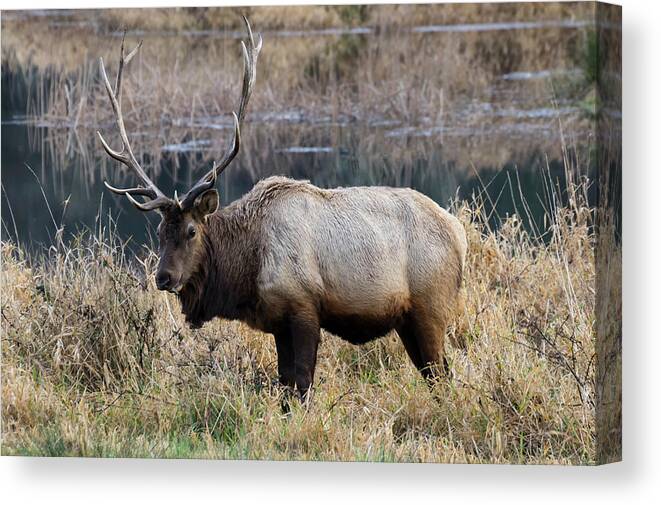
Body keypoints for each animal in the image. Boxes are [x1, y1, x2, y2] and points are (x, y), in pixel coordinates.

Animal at [98, 16, 470, 402]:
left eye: (191, 230)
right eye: (159, 232)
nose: (163, 277)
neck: (246, 268)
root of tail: (460, 235)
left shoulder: (303, 307)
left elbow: (301, 384)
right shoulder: (278, 322)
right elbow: (286, 386)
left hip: (431, 305)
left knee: (442, 374)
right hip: (408, 320)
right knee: (434, 374)